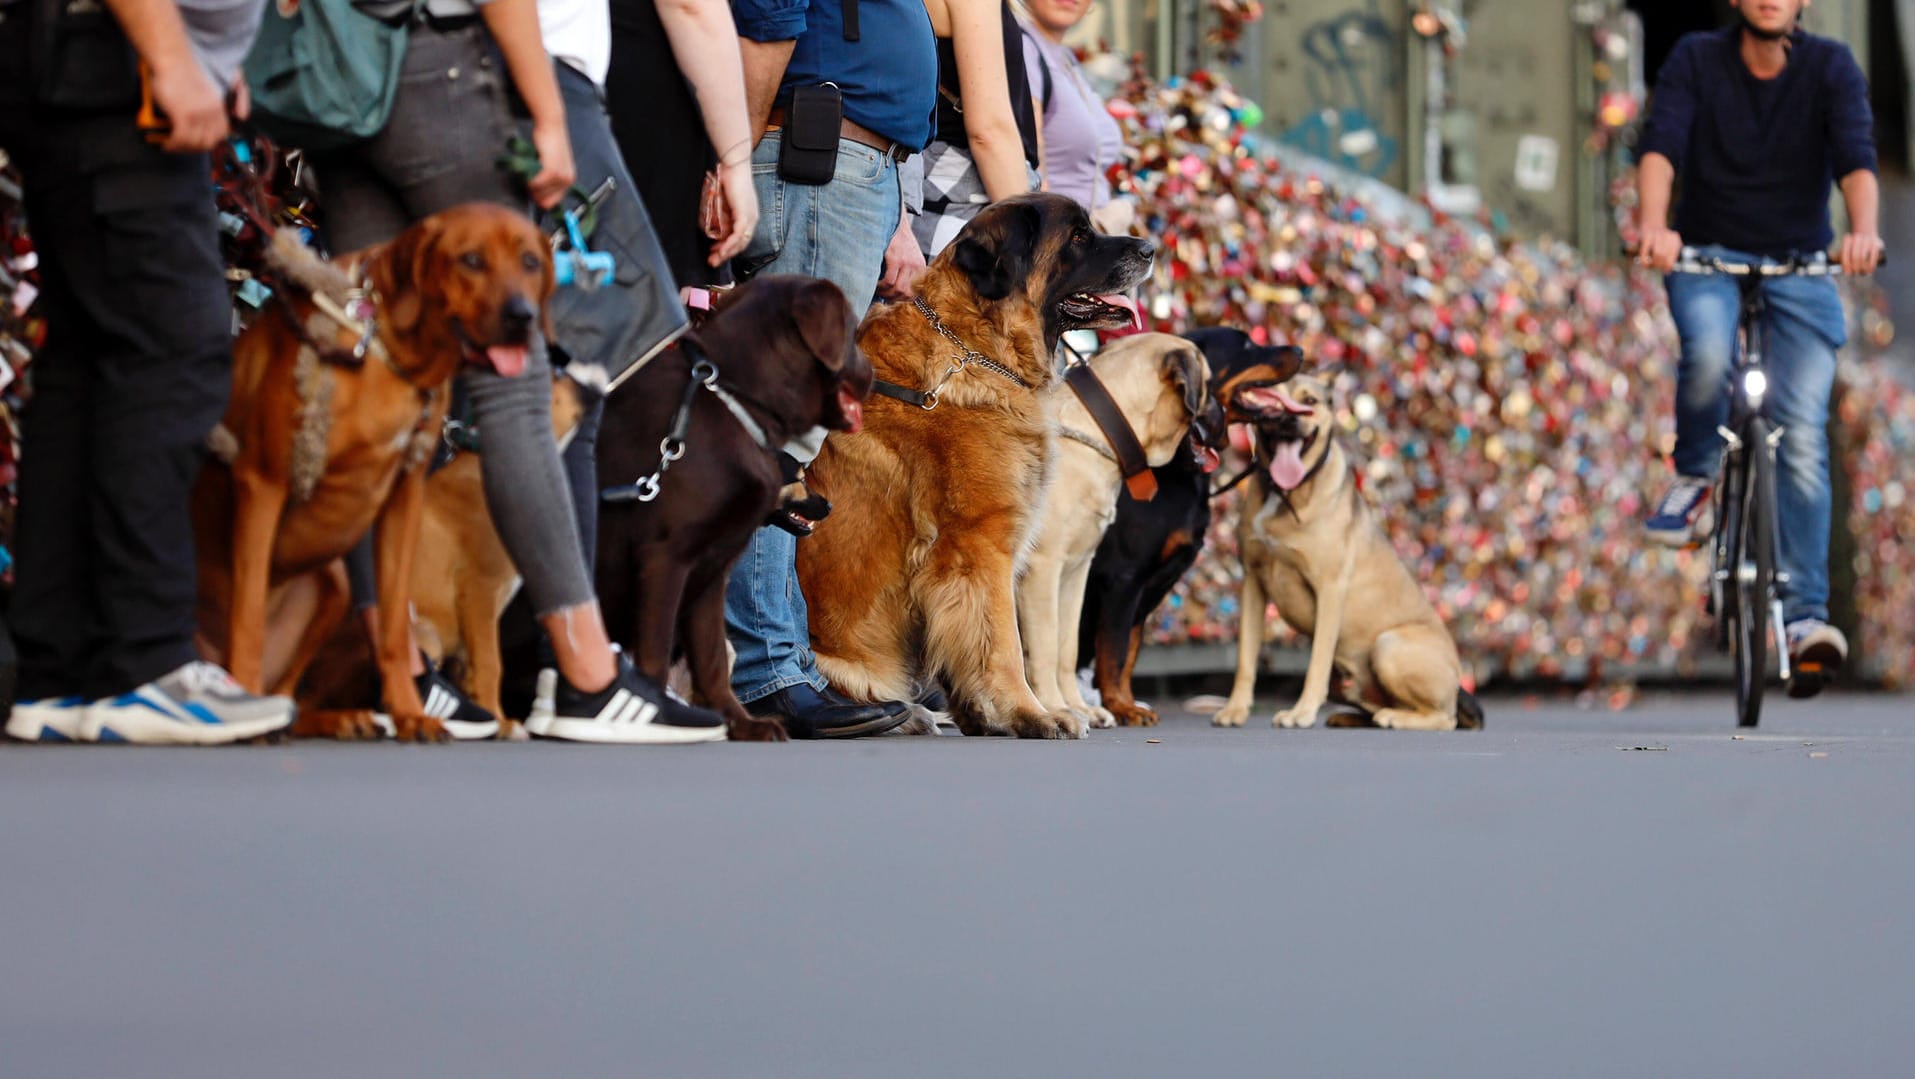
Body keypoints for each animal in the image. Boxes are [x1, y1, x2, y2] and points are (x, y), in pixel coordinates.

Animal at [192, 203, 555, 743]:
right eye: (471, 260)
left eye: (531, 262)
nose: (522, 318)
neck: (388, 353)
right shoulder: (263, 483)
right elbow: (249, 618)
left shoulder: (404, 497)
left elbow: (393, 627)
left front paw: (409, 713)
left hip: (336, 586)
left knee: (293, 697)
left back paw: (332, 718)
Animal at [796, 191, 1149, 743]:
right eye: (1078, 236)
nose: (1151, 248)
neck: (977, 347)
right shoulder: (980, 547)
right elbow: (1003, 644)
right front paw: (1032, 713)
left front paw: (983, 716)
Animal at [1018, 333, 1210, 732]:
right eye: (1209, 387)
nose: (1220, 417)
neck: (1098, 431)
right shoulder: (1044, 569)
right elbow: (1046, 646)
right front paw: (1053, 709)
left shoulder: (1075, 572)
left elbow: (1066, 647)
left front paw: (1077, 707)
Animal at [1217, 373, 1486, 735]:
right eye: (1270, 400)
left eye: (1310, 401)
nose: (1288, 420)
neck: (1286, 493)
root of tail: (1458, 684)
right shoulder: (1253, 585)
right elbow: (1246, 658)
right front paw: (1235, 710)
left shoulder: (1330, 589)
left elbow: (1316, 661)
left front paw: (1301, 713)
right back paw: (1353, 716)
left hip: (1390, 644)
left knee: (1446, 718)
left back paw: (1395, 718)